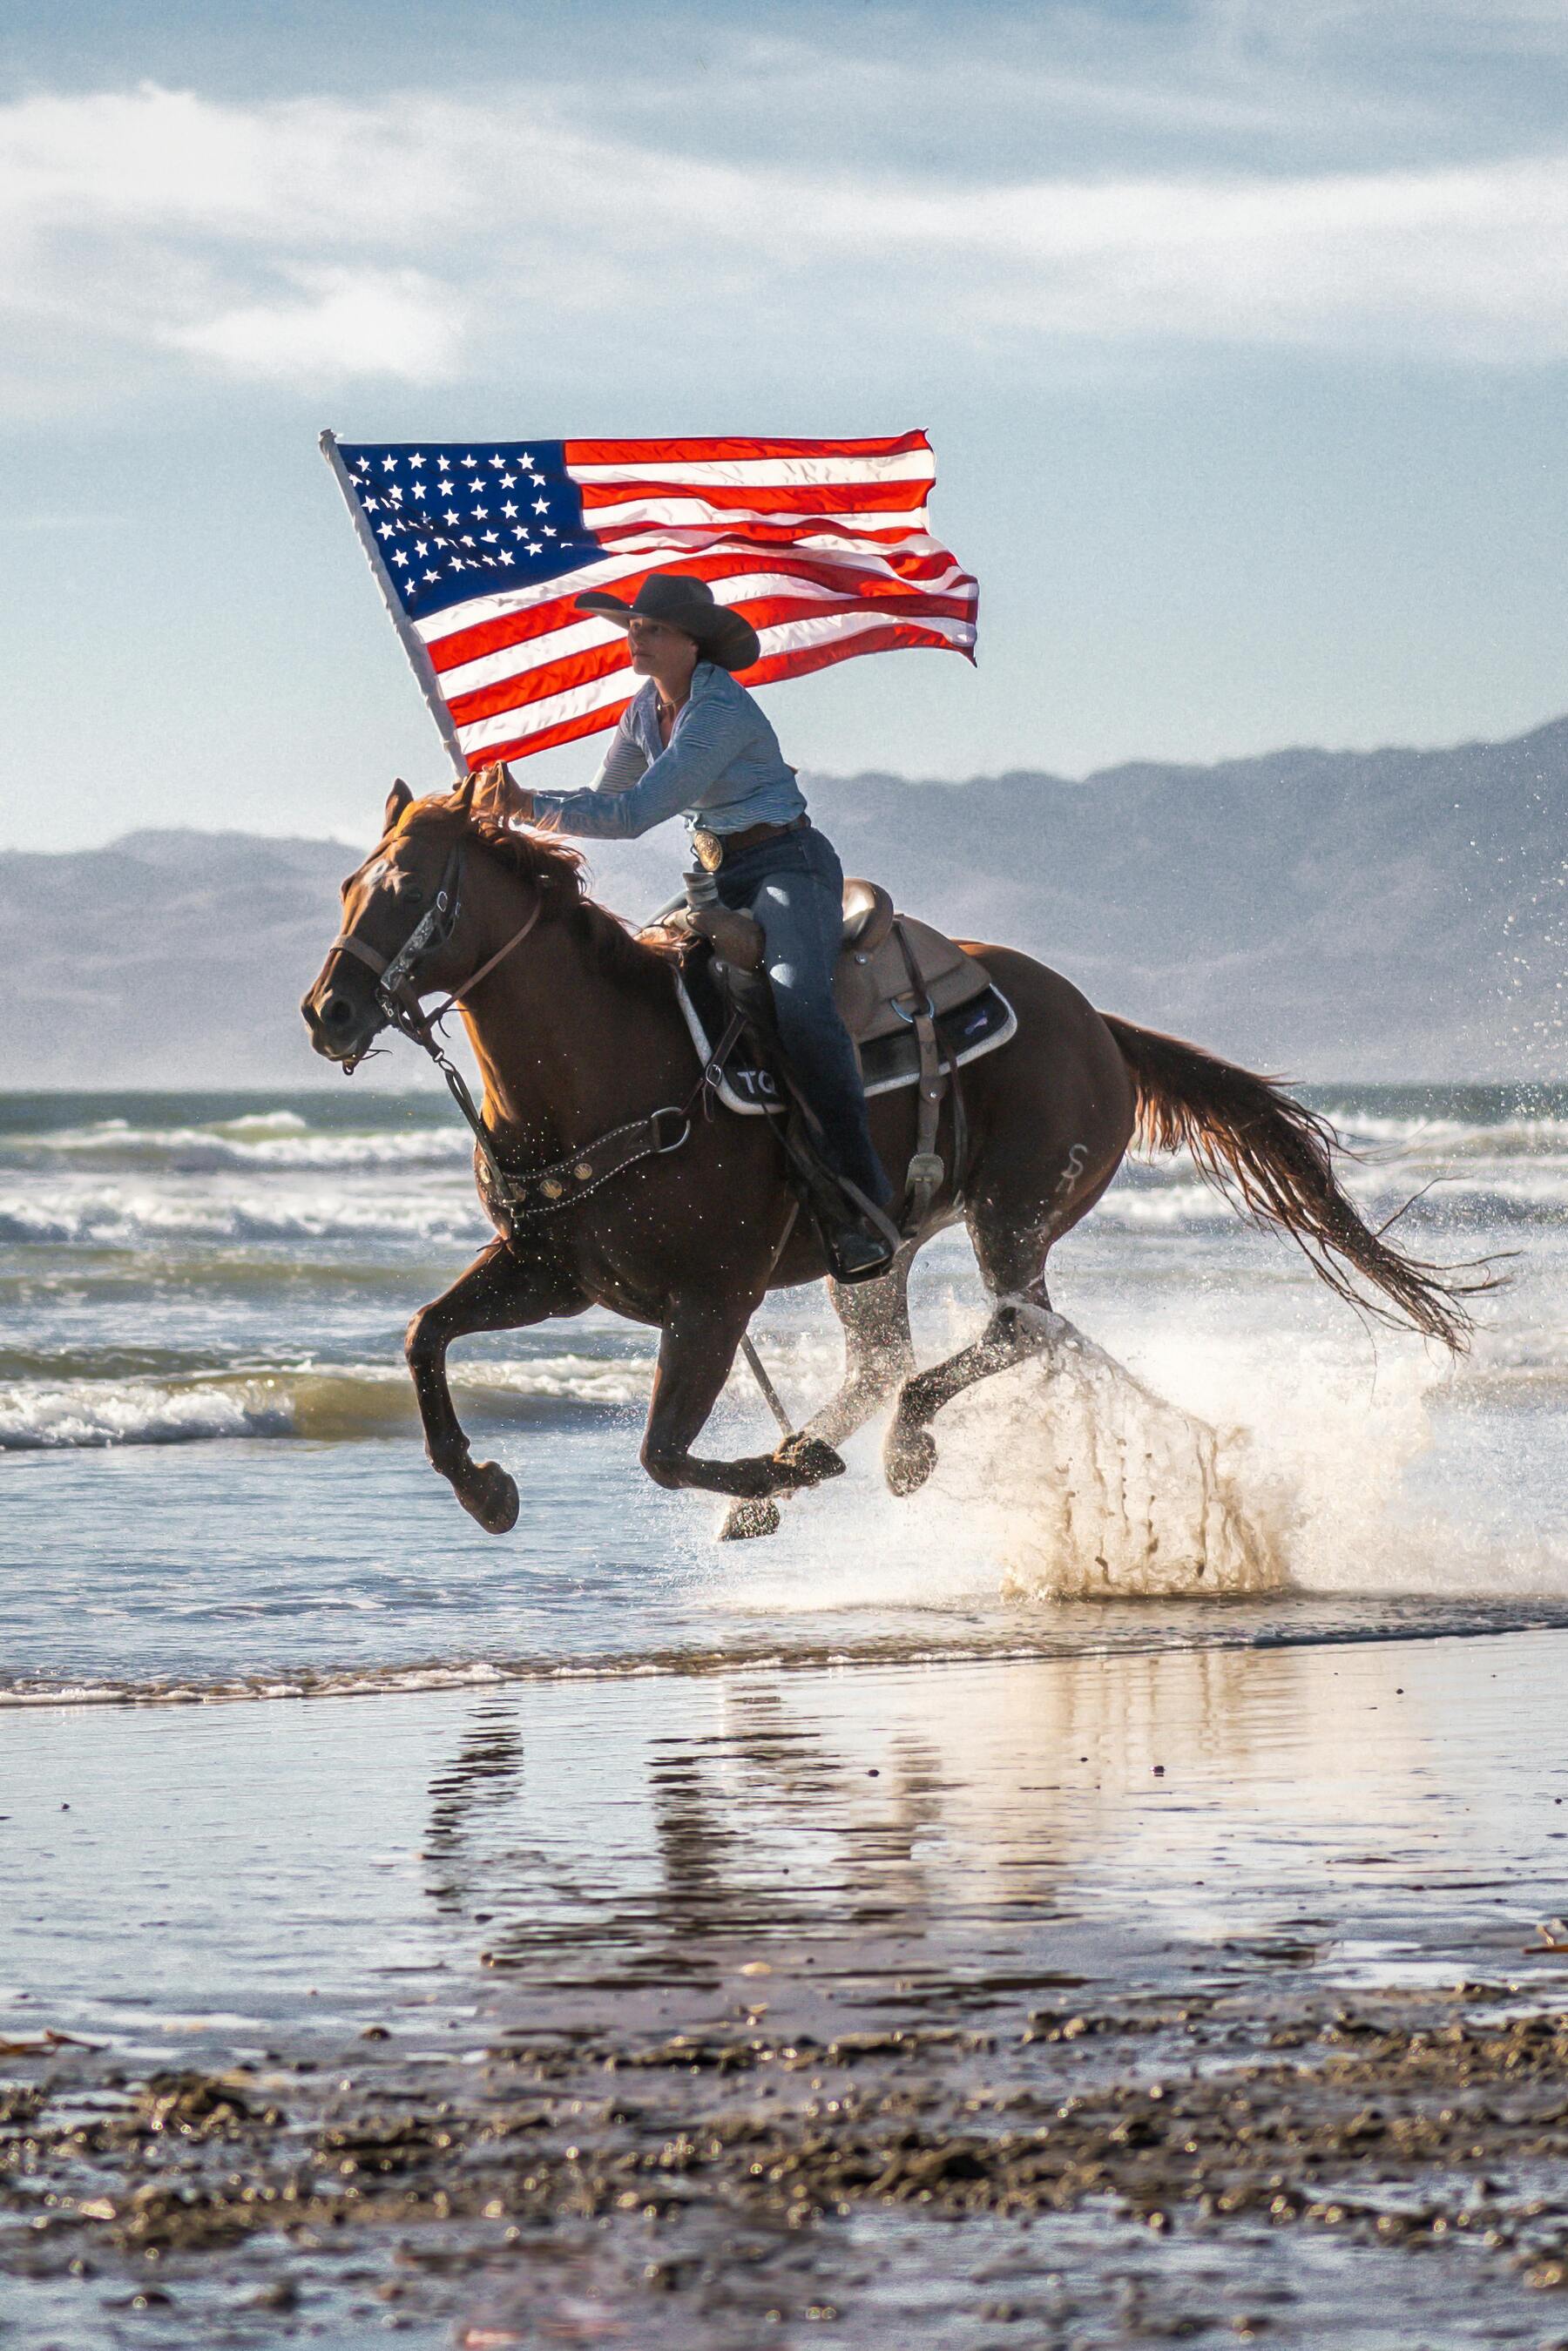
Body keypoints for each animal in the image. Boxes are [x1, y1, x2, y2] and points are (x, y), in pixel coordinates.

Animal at [301, 775, 1476, 1542]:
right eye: (350, 882)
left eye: (405, 886)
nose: (328, 1012)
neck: (611, 1064)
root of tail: (1095, 1021)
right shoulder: (554, 1274)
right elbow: (424, 1333)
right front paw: (484, 1487)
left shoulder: (712, 1300)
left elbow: (661, 1450)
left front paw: (783, 1467)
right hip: (881, 1248)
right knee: (905, 1354)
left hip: (1015, 1211)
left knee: (1014, 1331)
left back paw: (894, 1450)